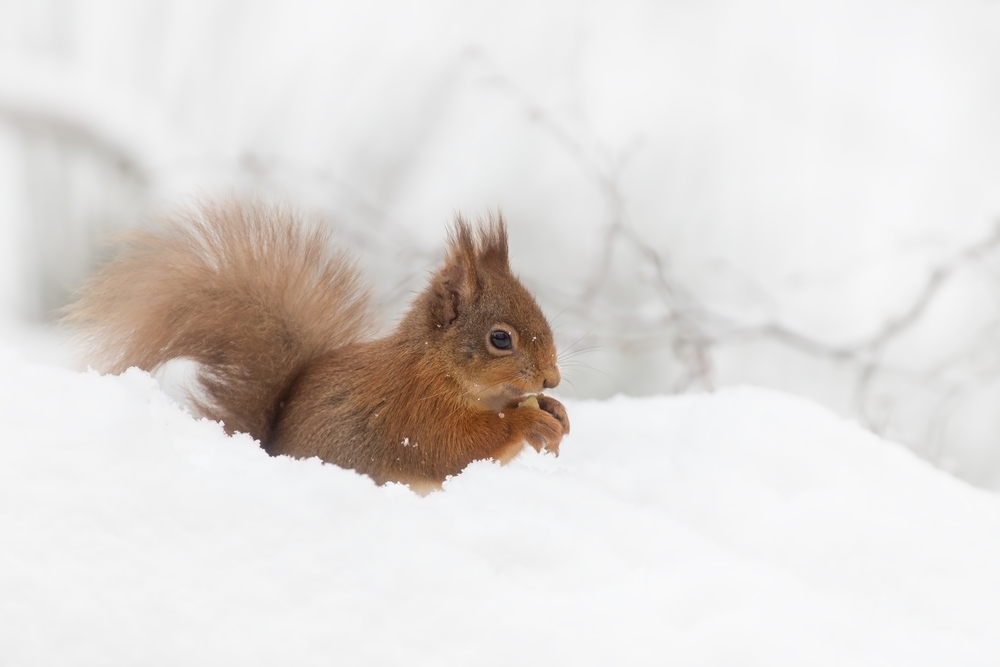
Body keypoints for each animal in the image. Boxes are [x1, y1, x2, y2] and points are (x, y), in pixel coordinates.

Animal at [66, 198, 572, 490]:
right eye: (500, 338)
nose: (552, 378)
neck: (440, 368)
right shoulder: (414, 411)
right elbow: (451, 449)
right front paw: (527, 423)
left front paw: (556, 413)